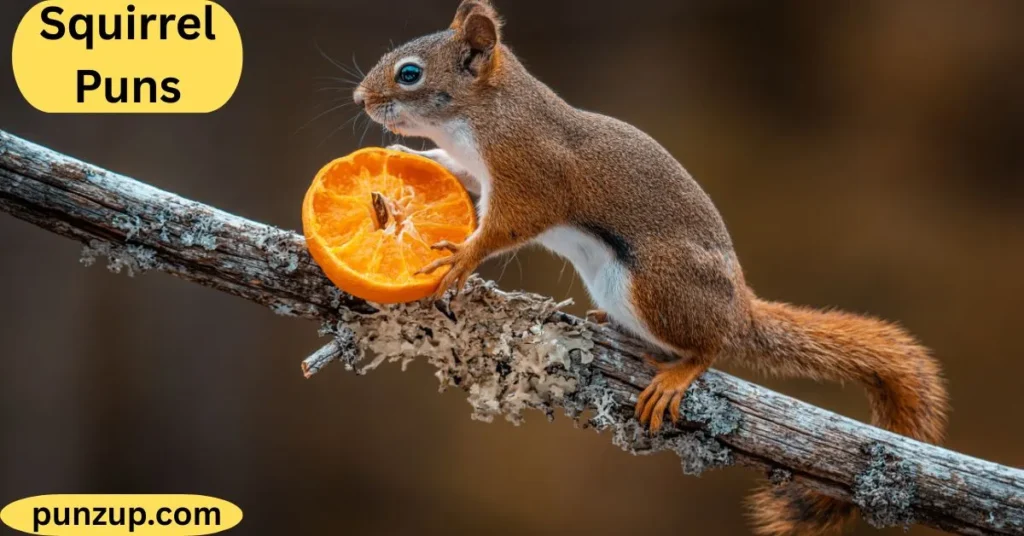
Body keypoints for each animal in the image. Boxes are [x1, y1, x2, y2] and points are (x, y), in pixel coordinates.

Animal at [352, 1, 949, 534]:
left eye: (410, 74)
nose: (360, 98)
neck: (486, 115)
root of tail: (740, 308)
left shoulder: (532, 175)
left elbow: (506, 227)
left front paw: (462, 256)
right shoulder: (478, 169)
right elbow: (455, 173)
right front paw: (417, 161)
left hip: (657, 286)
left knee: (711, 347)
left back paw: (680, 371)